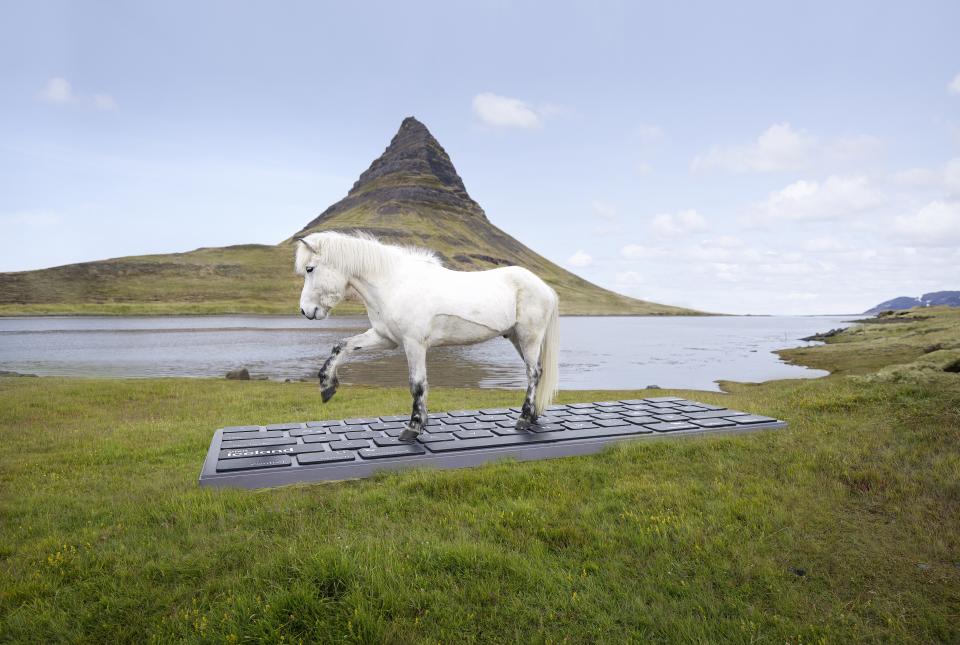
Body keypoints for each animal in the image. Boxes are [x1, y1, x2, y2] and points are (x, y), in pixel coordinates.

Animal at [296, 229, 560, 440]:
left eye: (310, 269)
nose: (305, 311)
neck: (393, 284)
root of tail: (544, 287)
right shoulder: (385, 338)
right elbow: (342, 346)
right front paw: (327, 386)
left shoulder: (414, 344)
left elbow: (417, 384)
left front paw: (413, 426)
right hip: (517, 338)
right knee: (537, 371)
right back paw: (533, 415)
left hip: (529, 338)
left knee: (533, 373)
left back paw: (524, 418)